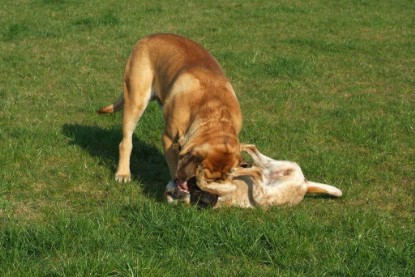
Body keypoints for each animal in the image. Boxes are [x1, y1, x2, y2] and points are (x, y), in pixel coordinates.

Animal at [98, 31, 242, 188]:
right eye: (200, 173)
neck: (216, 114)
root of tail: (146, 38)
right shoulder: (169, 140)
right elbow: (175, 169)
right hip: (135, 101)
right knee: (126, 142)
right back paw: (123, 173)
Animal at [164, 144, 342, 207]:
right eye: (171, 197)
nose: (174, 193)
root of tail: (305, 184)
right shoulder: (227, 188)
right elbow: (205, 183)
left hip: (275, 165)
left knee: (254, 154)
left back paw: (241, 152)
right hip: (262, 193)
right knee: (257, 171)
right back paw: (238, 168)